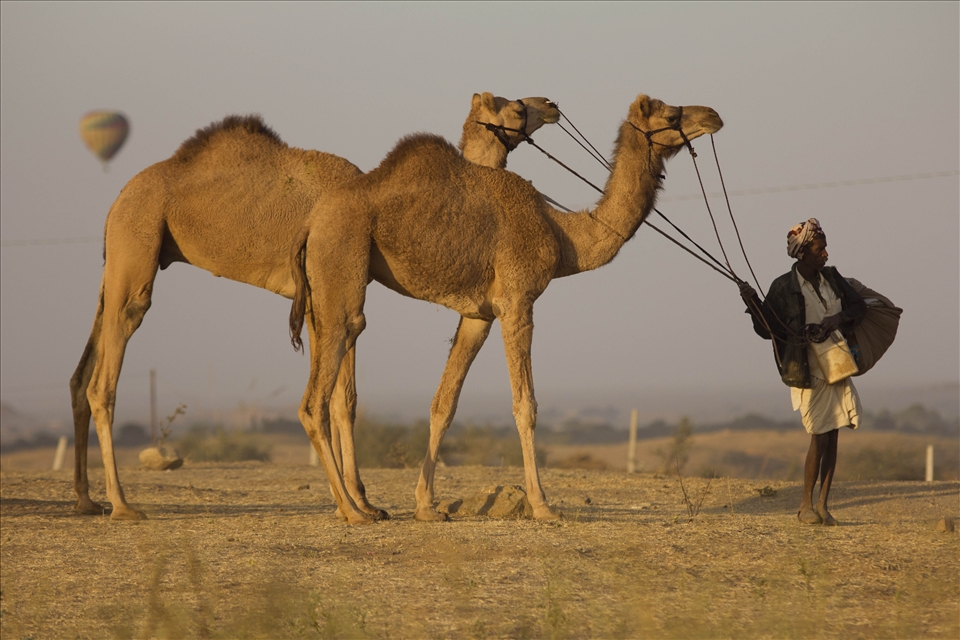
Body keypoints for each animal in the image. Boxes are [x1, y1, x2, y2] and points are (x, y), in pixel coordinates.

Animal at [69, 93, 560, 520]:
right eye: (517, 108)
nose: (551, 105)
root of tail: (119, 198)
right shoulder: (324, 293)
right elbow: (341, 397)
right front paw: (355, 504)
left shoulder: (322, 298)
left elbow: (345, 399)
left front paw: (364, 503)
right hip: (138, 238)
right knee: (107, 371)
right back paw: (122, 505)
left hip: (118, 258)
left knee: (81, 372)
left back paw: (86, 500)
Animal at [289, 94, 723, 523]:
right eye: (671, 115)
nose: (714, 115)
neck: (564, 236)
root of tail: (309, 226)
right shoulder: (517, 301)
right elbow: (525, 405)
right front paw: (543, 505)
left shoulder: (478, 315)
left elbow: (443, 404)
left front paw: (426, 505)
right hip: (341, 262)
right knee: (318, 394)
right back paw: (352, 510)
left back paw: (357, 504)